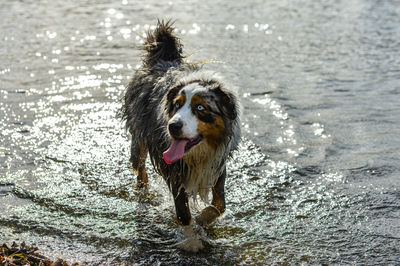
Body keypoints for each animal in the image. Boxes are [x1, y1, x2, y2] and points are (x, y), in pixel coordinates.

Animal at [121, 20, 241, 251]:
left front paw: (203, 220)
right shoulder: (174, 170)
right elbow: (184, 213)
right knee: (140, 170)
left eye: (200, 108)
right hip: (139, 135)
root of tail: (162, 59)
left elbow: (219, 205)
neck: (199, 153)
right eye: (177, 105)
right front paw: (192, 240)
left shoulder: (217, 164)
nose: (173, 126)